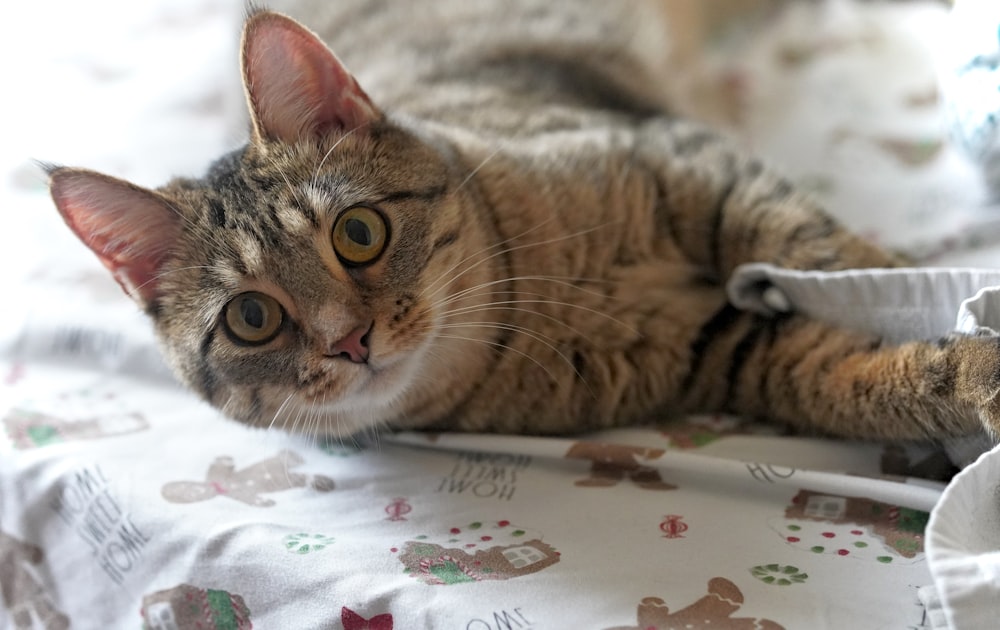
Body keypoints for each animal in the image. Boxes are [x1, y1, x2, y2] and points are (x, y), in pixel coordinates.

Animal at [48, 0, 1000, 444]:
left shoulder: (693, 162)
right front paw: (966, 372)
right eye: (252, 317)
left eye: (358, 232)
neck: (534, 309)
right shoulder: (727, 349)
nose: (349, 341)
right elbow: (865, 373)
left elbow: (831, 254)